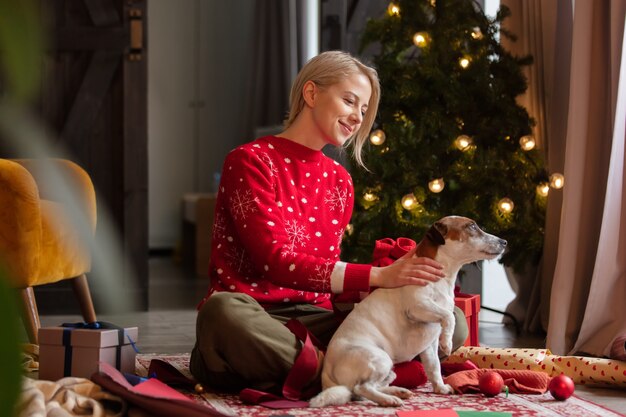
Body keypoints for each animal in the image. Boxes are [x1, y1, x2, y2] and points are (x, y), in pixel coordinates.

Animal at [308, 216, 508, 404]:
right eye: (471, 226)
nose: (504, 242)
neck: (442, 279)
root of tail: (326, 375)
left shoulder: (429, 344)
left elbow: (434, 367)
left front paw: (440, 388)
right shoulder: (417, 307)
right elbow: (448, 317)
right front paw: (447, 343)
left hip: (390, 370)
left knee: (366, 390)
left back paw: (397, 392)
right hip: (381, 359)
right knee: (361, 388)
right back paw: (389, 400)